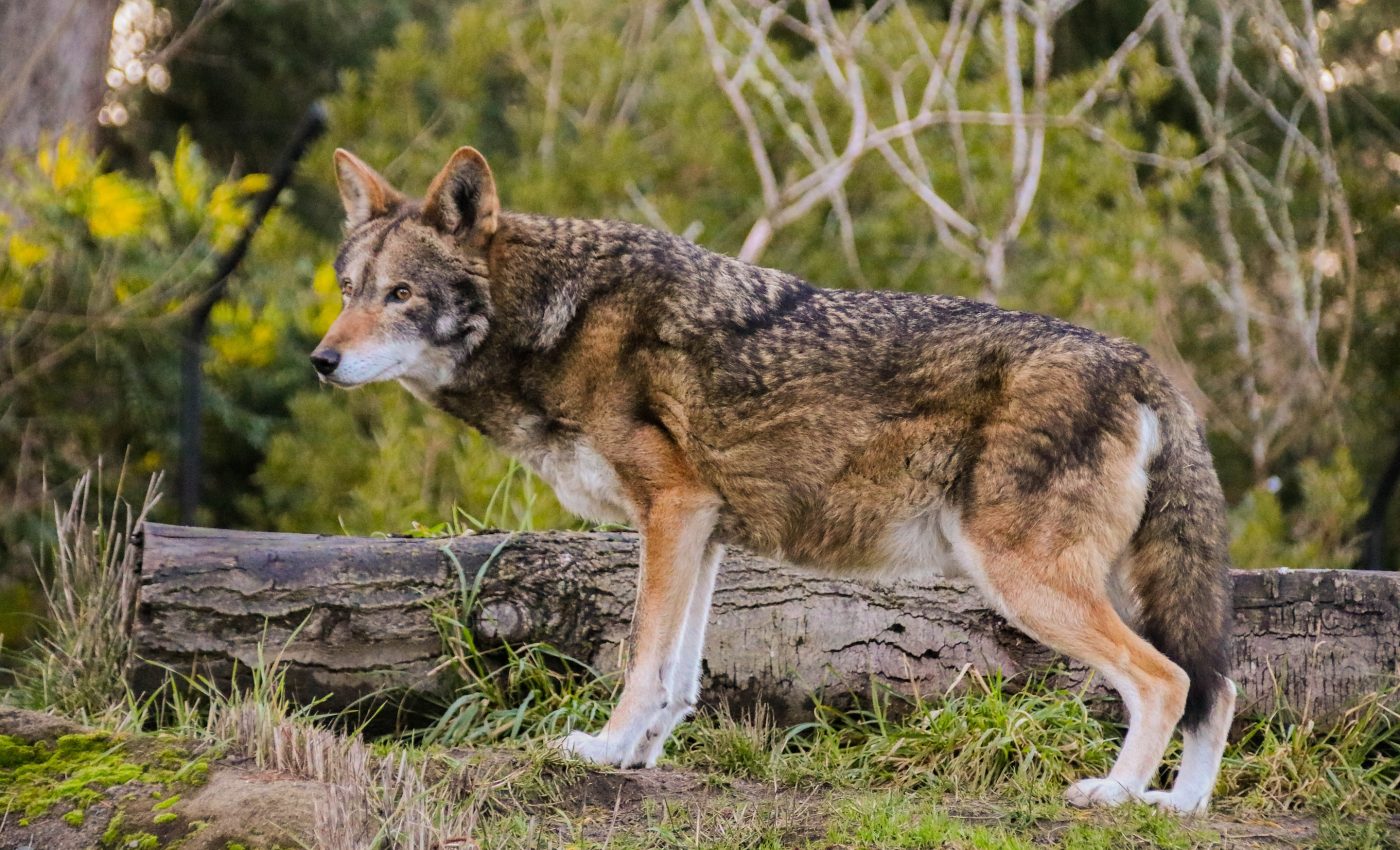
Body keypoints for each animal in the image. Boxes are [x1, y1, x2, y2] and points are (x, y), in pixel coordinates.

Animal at [312, 146, 1237, 814]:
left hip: (1026, 583)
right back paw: (1176, 808)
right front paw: (639, 757)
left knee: (1168, 680)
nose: (321, 360)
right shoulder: (701, 531)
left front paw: (604, 751)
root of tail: (1136, 360)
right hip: (1101, 584)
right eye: (349, 288)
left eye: (401, 294)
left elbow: (641, 659)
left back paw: (1114, 795)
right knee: (1215, 687)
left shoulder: (670, 512)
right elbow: (677, 677)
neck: (557, 322)